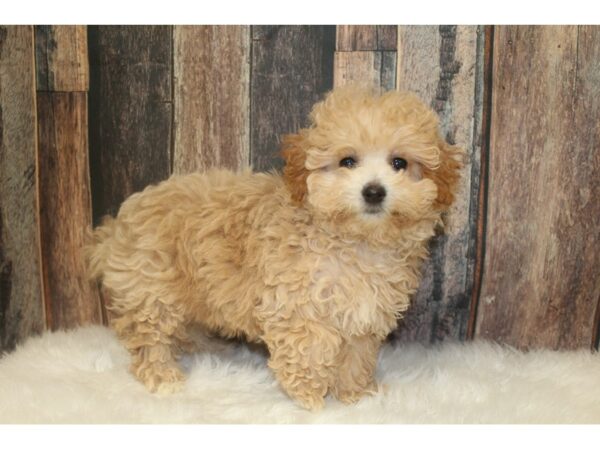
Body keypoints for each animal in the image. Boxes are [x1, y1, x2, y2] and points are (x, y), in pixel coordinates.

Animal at [86, 86, 462, 410]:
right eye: (347, 162)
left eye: (399, 163)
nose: (373, 191)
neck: (356, 243)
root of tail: (116, 227)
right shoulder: (297, 305)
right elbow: (310, 348)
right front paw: (310, 397)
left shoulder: (364, 312)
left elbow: (356, 355)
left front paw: (355, 394)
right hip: (151, 293)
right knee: (149, 339)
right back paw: (163, 376)